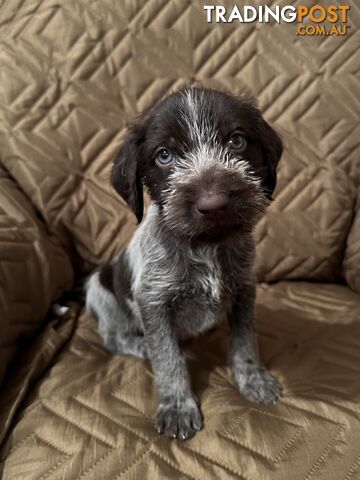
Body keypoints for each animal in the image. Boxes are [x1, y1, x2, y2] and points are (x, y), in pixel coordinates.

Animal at [86, 85, 282, 438]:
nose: (213, 204)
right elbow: (168, 358)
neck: (205, 247)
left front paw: (252, 378)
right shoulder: (153, 303)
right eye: (164, 156)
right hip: (99, 287)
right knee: (112, 336)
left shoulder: (244, 290)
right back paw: (139, 346)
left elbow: (245, 341)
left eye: (236, 141)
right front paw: (177, 405)